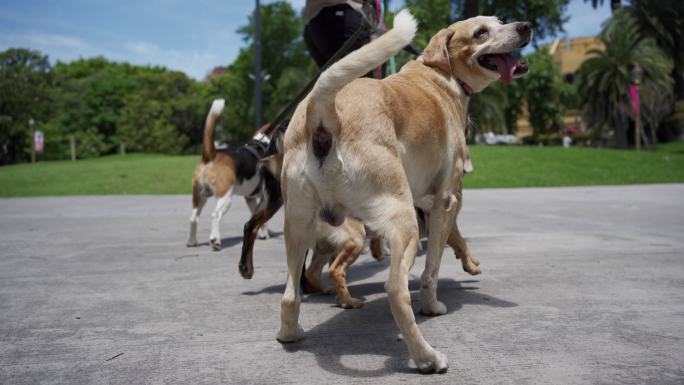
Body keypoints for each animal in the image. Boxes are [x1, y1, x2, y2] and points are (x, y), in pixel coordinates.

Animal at [187, 99, 276, 249]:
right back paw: (215, 240)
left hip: (199, 196)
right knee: (215, 215)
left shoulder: (250, 198)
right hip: (225, 196)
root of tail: (211, 154)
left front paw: (263, 234)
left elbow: (257, 218)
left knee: (194, 217)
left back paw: (192, 242)